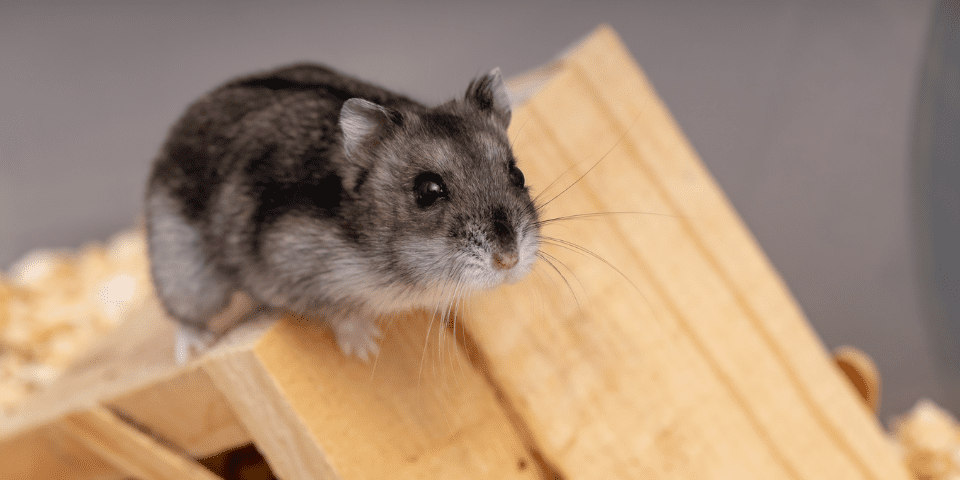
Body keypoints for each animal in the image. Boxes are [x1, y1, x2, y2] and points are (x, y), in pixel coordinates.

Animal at [147, 64, 544, 364]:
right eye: (428, 191)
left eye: (518, 174)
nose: (509, 260)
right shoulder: (295, 267)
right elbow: (338, 310)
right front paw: (367, 349)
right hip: (186, 270)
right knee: (182, 310)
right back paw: (195, 349)